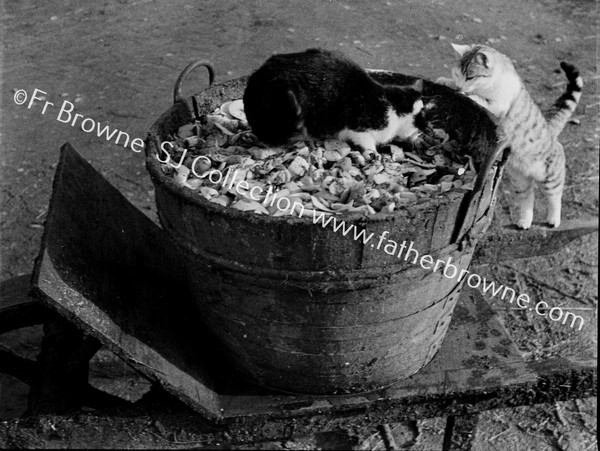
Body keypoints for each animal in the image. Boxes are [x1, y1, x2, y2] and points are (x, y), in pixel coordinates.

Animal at [436, 42, 580, 230]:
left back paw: (553, 219)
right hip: (520, 179)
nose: (460, 87)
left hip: (550, 177)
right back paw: (524, 221)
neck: (490, 84)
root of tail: (550, 130)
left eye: (470, 77)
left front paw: (465, 93)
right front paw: (446, 82)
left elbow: (478, 98)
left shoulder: (498, 105)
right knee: (528, 197)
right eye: (456, 74)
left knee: (555, 196)